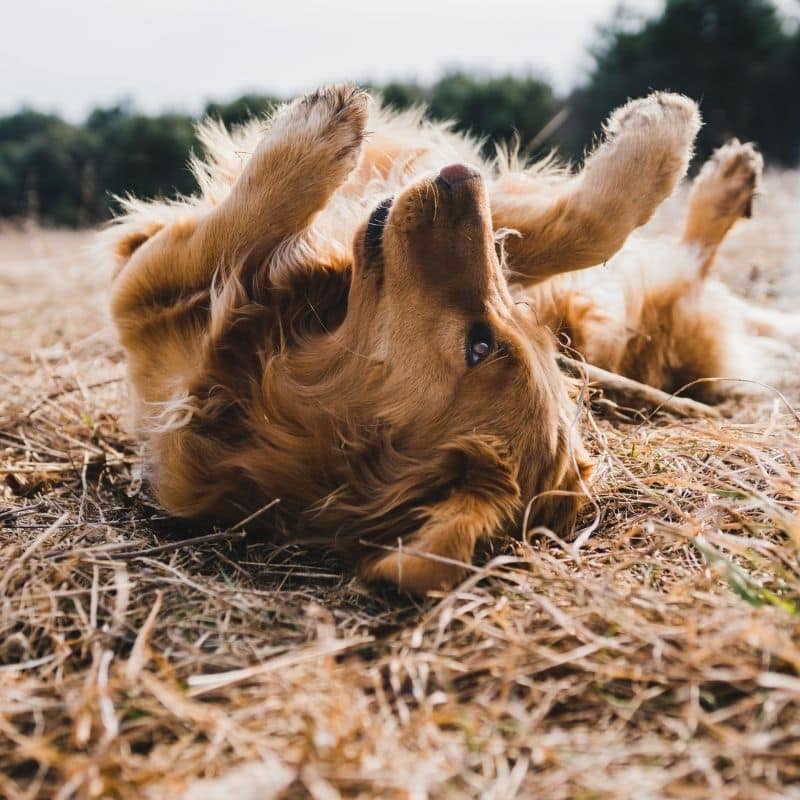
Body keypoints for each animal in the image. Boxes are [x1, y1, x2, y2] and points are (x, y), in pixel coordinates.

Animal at [104, 84, 792, 592]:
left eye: (478, 346)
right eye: (501, 337)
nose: (461, 176)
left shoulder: (143, 297)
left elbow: (236, 228)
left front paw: (313, 138)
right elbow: (574, 229)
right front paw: (658, 137)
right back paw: (729, 179)